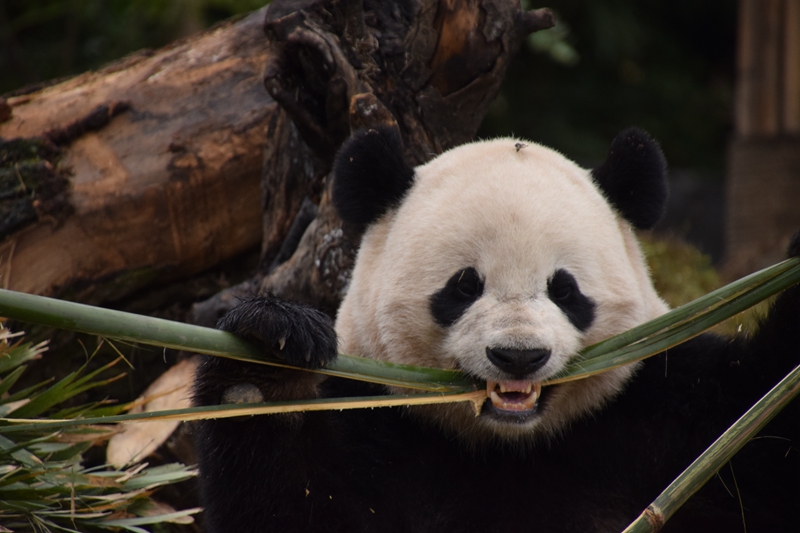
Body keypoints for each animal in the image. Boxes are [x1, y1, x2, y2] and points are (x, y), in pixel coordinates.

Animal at [194, 128, 800, 532]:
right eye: (464, 286)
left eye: (564, 290)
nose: (518, 356)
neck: (509, 445)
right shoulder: (374, 422)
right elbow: (288, 507)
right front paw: (267, 362)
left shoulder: (667, 412)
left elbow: (764, 450)